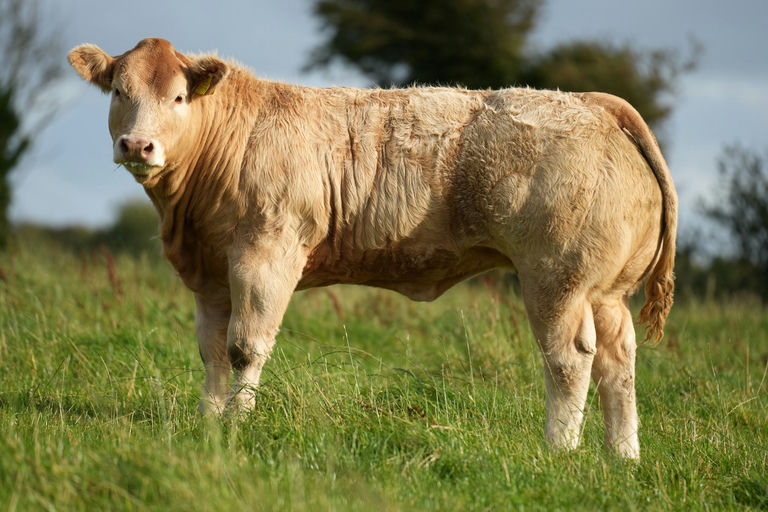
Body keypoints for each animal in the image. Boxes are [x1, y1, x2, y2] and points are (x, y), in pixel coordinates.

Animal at [68, 38, 676, 459]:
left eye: (177, 96)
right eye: (120, 92)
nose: (138, 145)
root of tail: (593, 103)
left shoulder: (267, 251)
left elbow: (245, 347)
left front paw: (239, 424)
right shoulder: (212, 274)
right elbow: (213, 353)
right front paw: (209, 424)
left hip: (555, 279)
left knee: (569, 359)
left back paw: (557, 451)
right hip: (606, 291)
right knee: (618, 363)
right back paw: (622, 457)